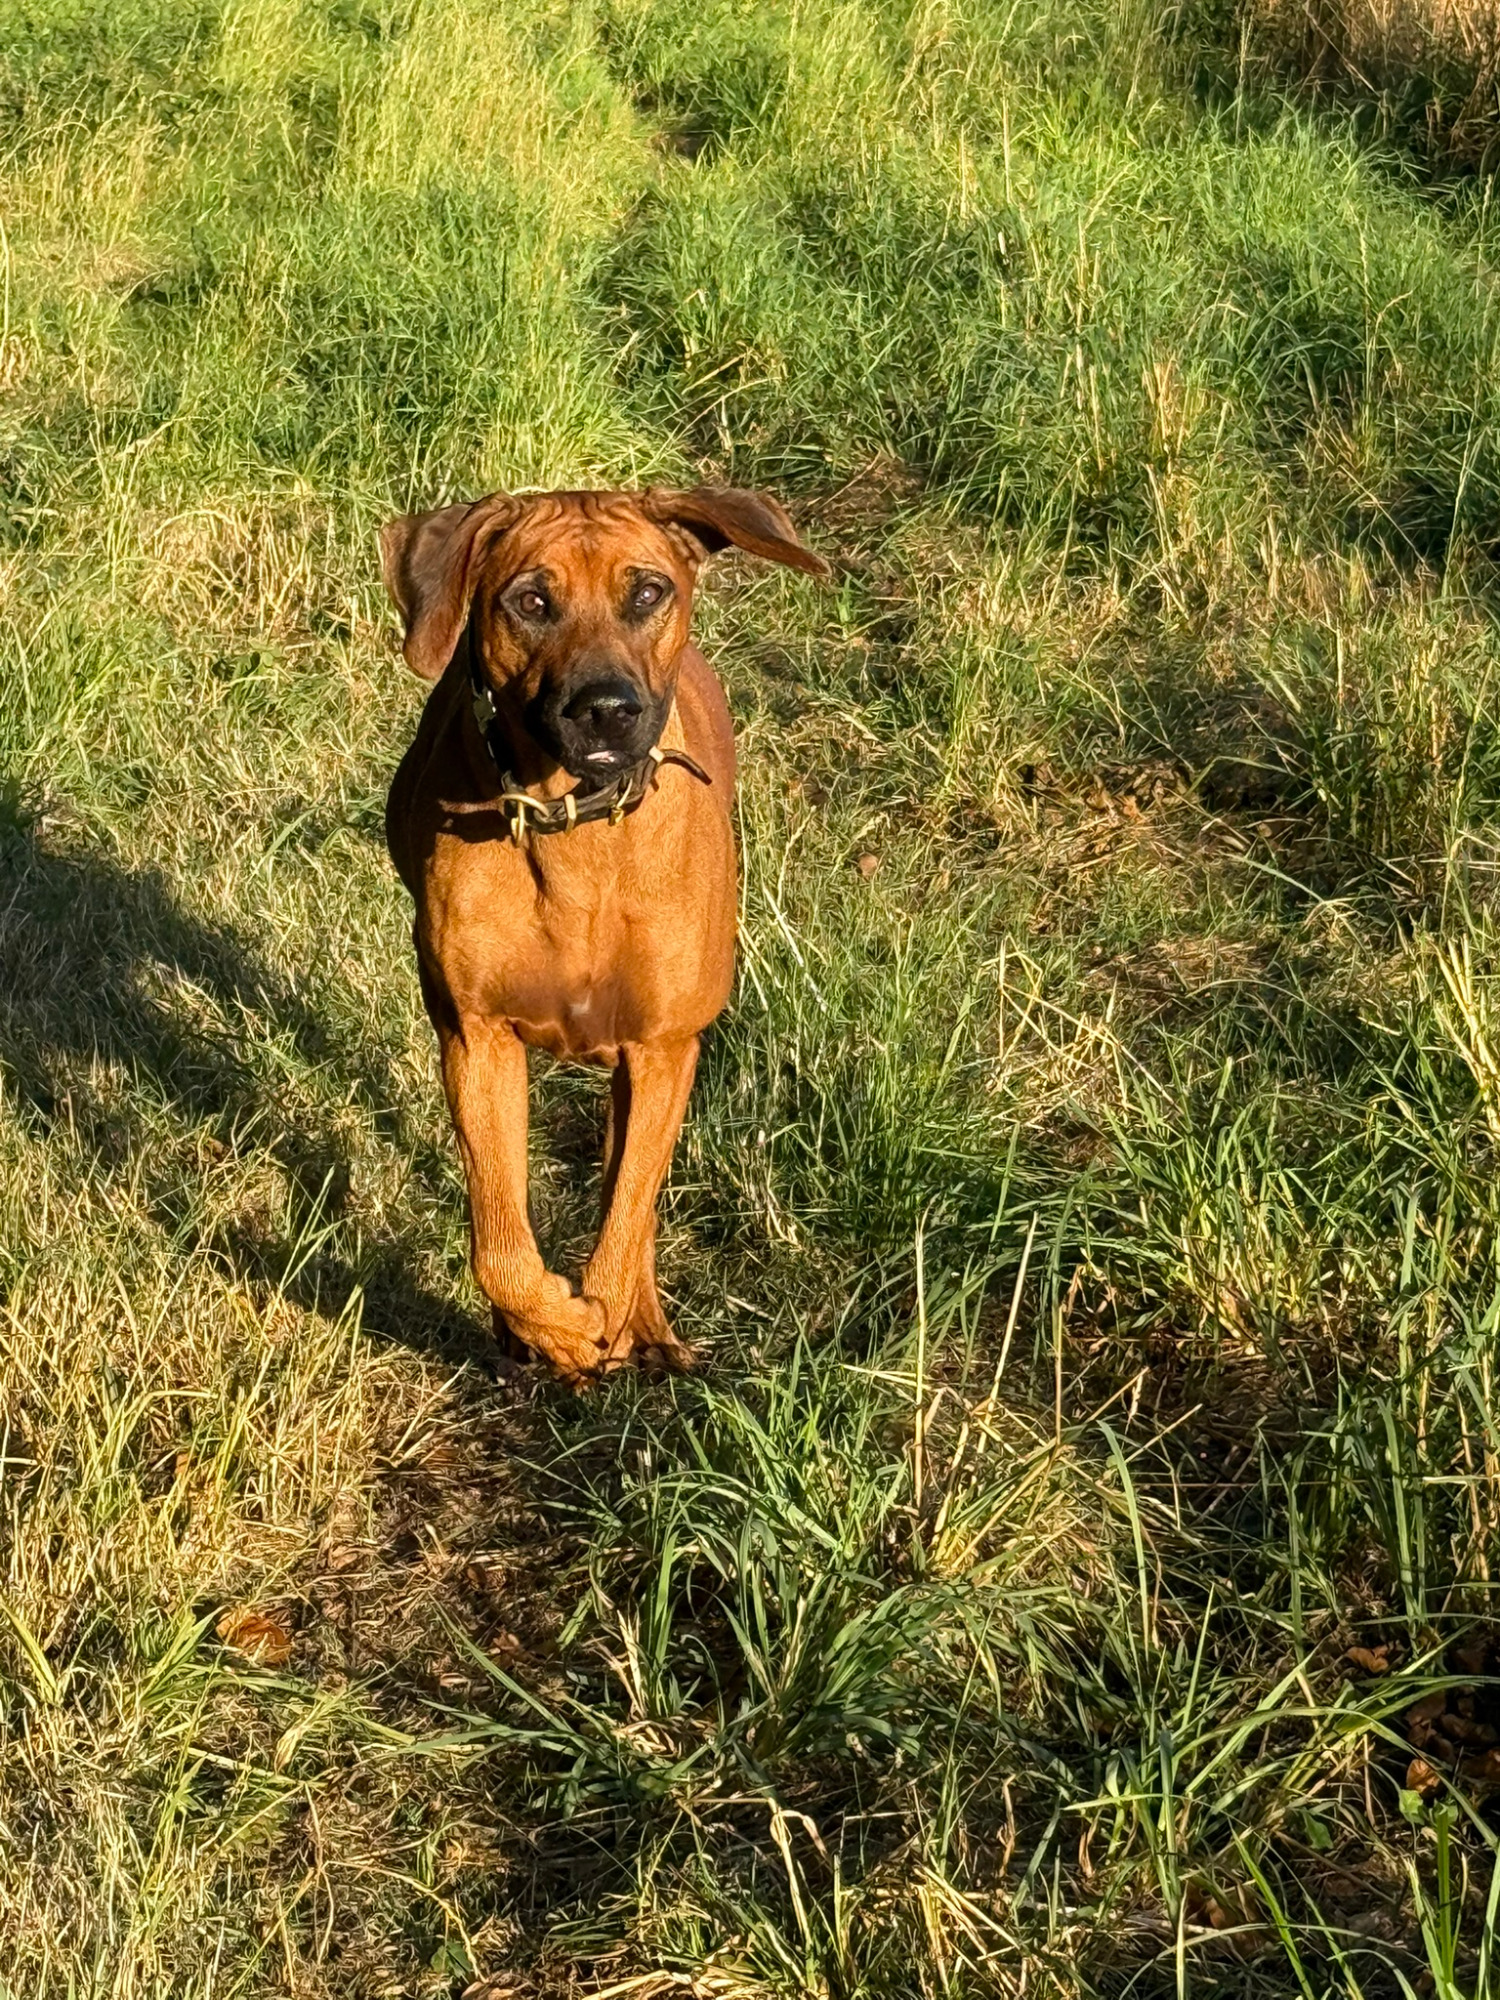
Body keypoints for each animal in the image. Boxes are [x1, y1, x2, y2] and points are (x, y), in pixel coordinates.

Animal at [381, 486, 828, 1381]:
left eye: (648, 593)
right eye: (530, 602)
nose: (607, 709)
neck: (577, 827)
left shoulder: (663, 1049)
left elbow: (628, 1213)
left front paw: (611, 1318)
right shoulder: (477, 1037)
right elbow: (500, 1240)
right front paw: (552, 1324)